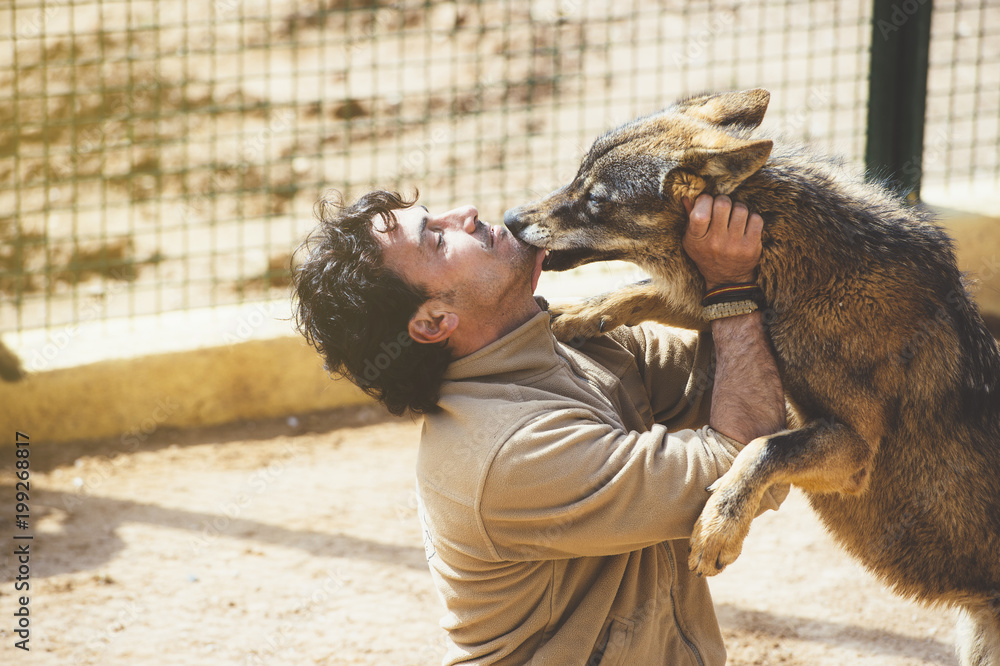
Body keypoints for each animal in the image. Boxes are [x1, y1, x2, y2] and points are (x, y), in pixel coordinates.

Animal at [503, 88, 1000, 665]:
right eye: (575, 177)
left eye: (596, 201)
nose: (510, 219)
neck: (804, 266)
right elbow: (644, 291)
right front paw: (572, 316)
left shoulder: (854, 453)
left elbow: (762, 448)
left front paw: (718, 531)